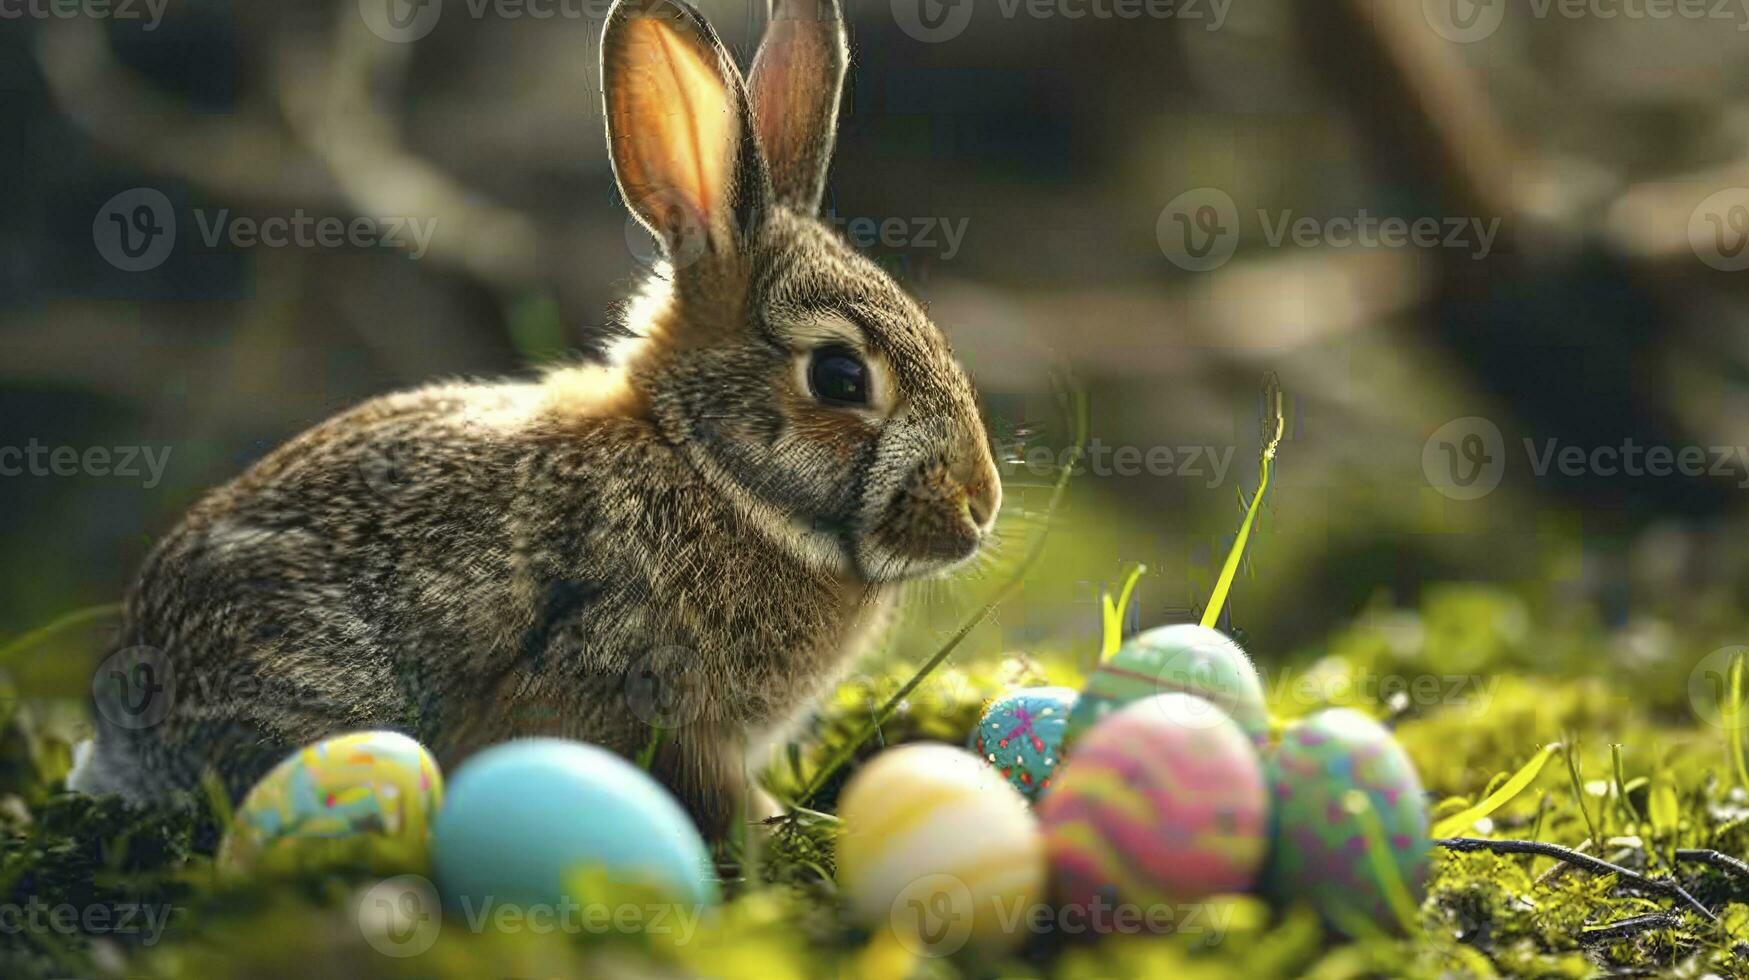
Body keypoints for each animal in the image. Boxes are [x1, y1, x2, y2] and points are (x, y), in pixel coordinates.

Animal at [68, 0, 1007, 840]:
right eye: (841, 376)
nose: (979, 504)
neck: (707, 472)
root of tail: (123, 721)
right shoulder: (646, 701)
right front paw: (776, 830)